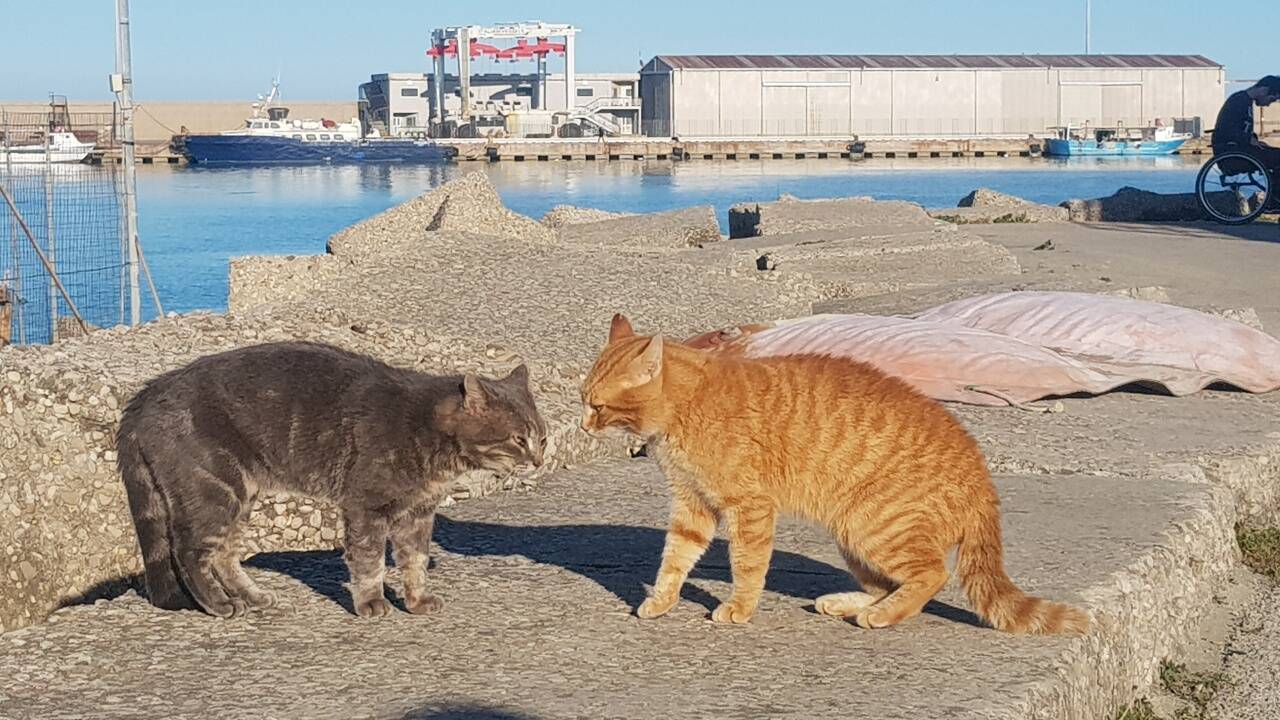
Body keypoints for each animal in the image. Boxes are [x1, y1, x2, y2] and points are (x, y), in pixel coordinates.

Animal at [113, 340, 545, 617]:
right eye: (518, 439)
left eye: (541, 436)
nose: (539, 460)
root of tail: (144, 397)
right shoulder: (366, 506)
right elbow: (369, 561)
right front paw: (372, 603)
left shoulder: (418, 514)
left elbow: (415, 560)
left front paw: (417, 600)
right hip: (215, 491)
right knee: (189, 551)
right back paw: (219, 605)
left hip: (241, 496)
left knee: (222, 554)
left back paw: (252, 596)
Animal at [581, 311, 1090, 630]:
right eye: (583, 399)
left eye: (597, 405)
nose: (583, 424)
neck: (688, 405)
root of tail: (982, 474)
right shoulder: (693, 506)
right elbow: (674, 560)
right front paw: (661, 601)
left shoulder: (749, 508)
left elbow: (747, 565)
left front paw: (740, 608)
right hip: (853, 537)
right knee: (889, 585)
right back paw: (847, 604)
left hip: (874, 527)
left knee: (931, 576)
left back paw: (881, 615)